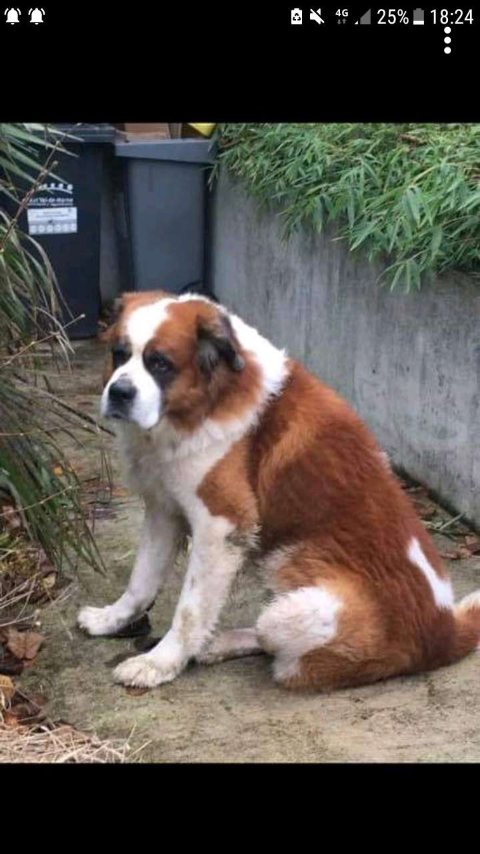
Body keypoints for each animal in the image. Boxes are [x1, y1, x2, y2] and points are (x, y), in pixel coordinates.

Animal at [78, 290, 480, 692]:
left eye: (160, 364)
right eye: (119, 354)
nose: (119, 392)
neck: (209, 400)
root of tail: (447, 630)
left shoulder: (220, 526)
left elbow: (190, 609)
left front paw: (160, 662)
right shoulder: (164, 509)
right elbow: (141, 580)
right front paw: (113, 618)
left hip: (294, 608)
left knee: (274, 640)